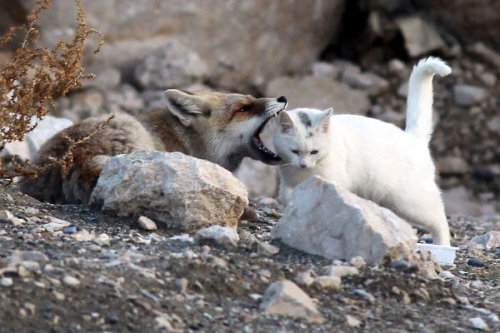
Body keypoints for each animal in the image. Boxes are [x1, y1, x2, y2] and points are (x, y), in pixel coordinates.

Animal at [274, 57, 454, 245]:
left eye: (314, 152)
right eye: (294, 151)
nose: (303, 164)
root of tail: (413, 137)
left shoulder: (333, 180)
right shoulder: (287, 181)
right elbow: (287, 196)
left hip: (410, 201)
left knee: (439, 218)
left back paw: (443, 245)